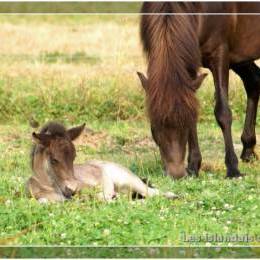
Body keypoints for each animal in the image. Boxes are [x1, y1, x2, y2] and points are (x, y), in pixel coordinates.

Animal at [26, 122, 178, 203]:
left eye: (74, 157)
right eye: (53, 159)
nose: (72, 190)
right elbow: (43, 201)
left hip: (130, 181)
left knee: (153, 193)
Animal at [137, 3, 258, 179]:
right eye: (155, 124)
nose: (176, 174)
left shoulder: (220, 53)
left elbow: (223, 112)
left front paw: (232, 168)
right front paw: (193, 166)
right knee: (254, 82)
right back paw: (248, 150)